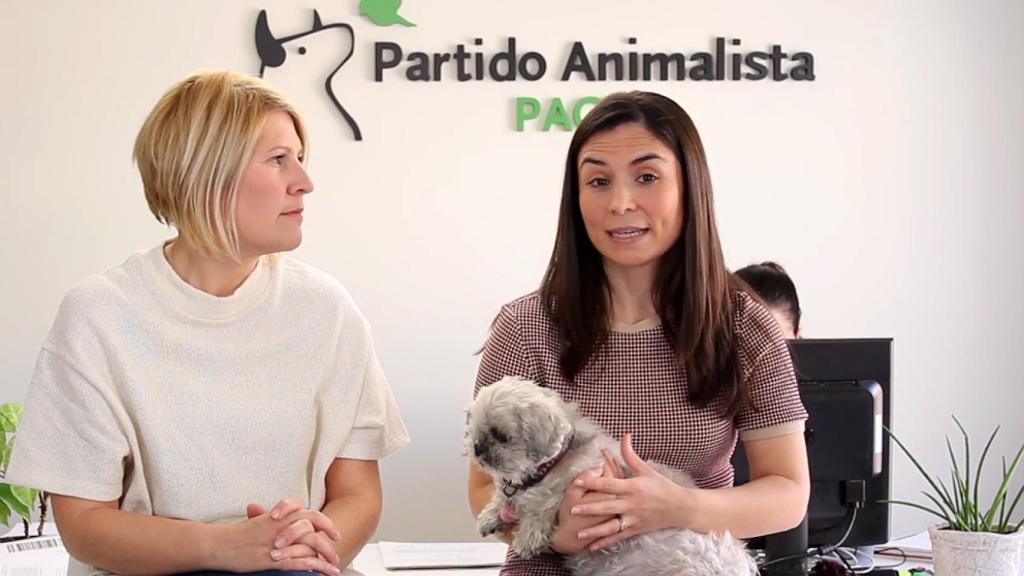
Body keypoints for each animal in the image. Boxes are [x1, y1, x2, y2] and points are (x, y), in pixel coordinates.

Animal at [468, 375, 757, 573]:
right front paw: (492, 514)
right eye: (476, 432)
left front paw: (530, 533)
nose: (478, 448)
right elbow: (504, 496)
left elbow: (546, 504)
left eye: (501, 436)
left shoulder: (585, 478)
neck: (549, 468)